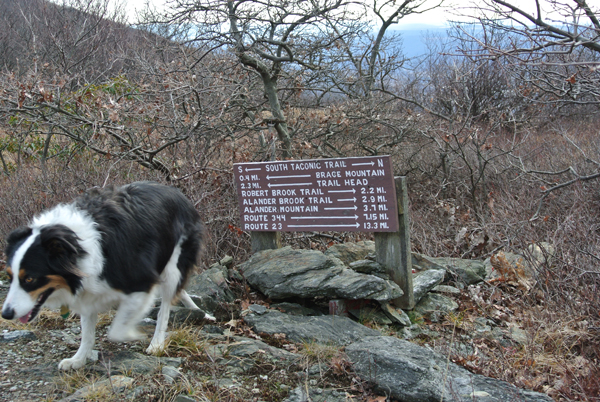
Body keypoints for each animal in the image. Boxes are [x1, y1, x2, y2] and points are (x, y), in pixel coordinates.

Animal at [1, 183, 213, 370]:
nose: (6, 314)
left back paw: (157, 343)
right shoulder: (88, 290)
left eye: (29, 279)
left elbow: (116, 331)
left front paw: (134, 334)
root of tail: (176, 191)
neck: (76, 246)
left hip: (173, 264)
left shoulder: (142, 282)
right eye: (10, 277)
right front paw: (78, 359)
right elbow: (87, 332)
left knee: (166, 306)